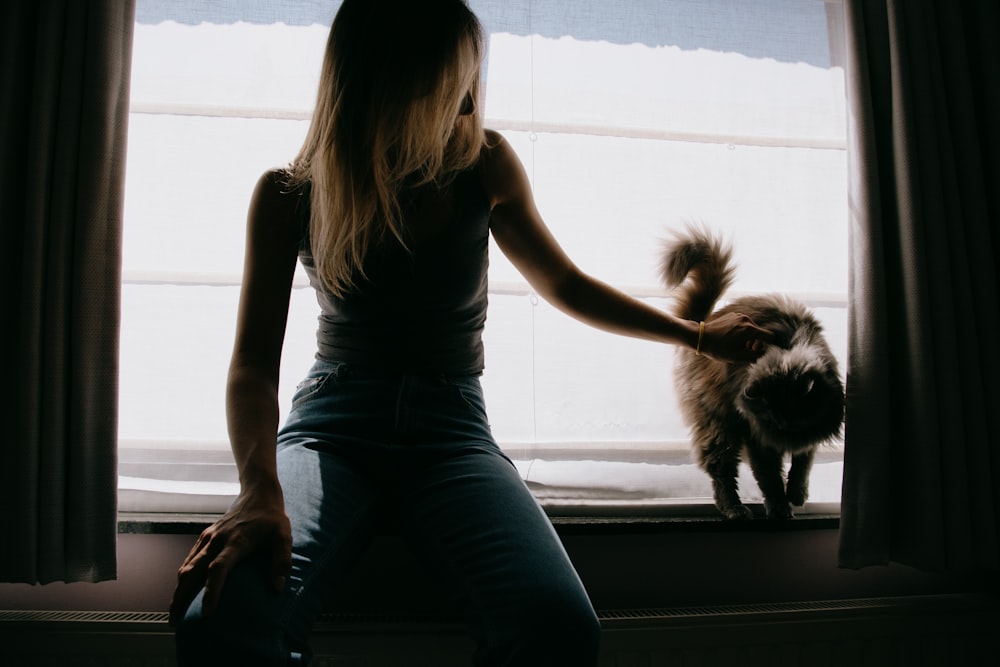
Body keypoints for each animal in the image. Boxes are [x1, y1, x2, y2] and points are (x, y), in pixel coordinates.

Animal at [664, 227, 844, 520]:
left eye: (793, 408)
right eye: (770, 411)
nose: (781, 425)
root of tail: (706, 322)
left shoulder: (809, 436)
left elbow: (802, 464)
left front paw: (797, 494)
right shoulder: (757, 439)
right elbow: (770, 479)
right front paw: (780, 508)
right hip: (719, 425)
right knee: (721, 472)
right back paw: (734, 509)